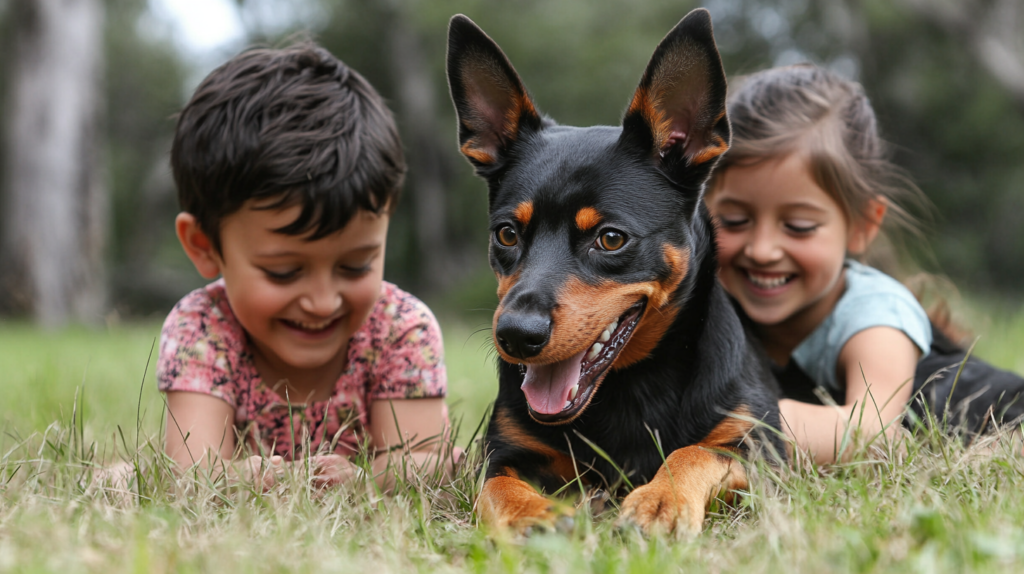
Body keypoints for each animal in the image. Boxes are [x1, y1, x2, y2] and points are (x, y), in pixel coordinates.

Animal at [448, 8, 782, 536]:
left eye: (610, 238)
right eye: (506, 234)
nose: (516, 336)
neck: (627, 388)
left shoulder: (762, 447)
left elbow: (696, 451)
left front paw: (661, 501)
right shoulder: (505, 450)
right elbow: (495, 487)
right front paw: (531, 514)